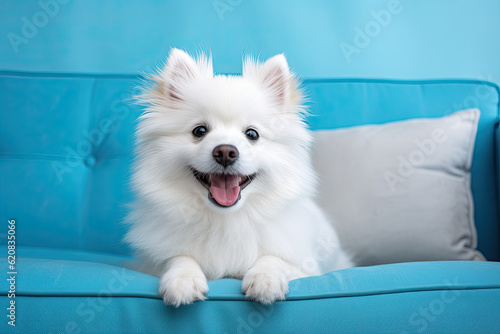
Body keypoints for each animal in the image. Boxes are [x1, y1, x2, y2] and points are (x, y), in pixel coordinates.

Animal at [125, 48, 352, 306]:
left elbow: (273, 259)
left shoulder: (305, 268)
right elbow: (177, 258)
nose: (225, 152)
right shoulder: (151, 262)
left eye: (252, 134)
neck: (225, 219)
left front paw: (265, 279)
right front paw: (183, 279)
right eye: (199, 131)